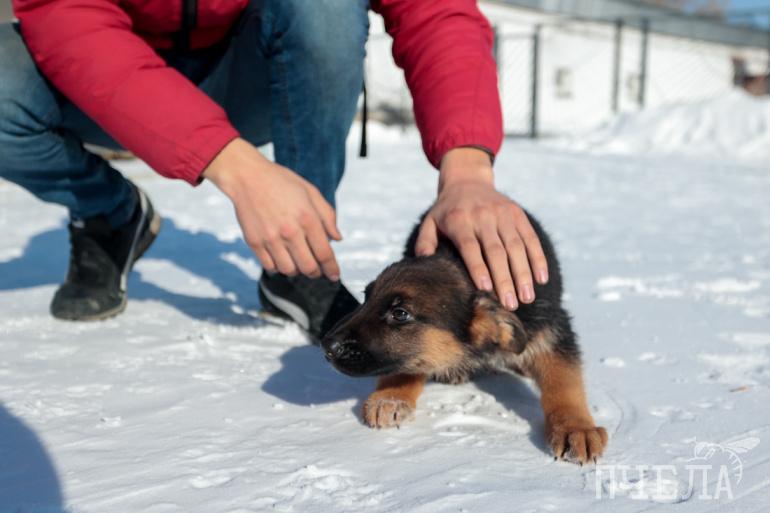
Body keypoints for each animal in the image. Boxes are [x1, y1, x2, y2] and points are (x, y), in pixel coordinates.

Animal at [321, 208, 608, 464]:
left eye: (400, 314)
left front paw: (576, 429)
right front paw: (390, 396)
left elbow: (563, 380)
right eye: (366, 297)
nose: (327, 347)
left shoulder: (551, 328)